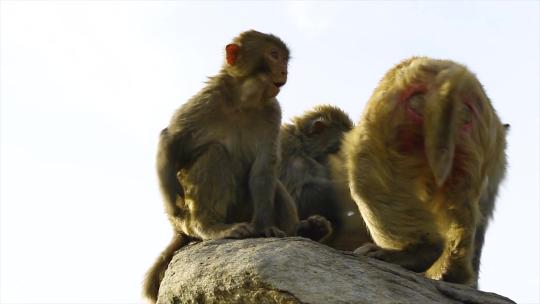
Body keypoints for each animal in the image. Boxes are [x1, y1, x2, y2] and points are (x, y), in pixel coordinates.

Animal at [141, 29, 332, 302]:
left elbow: (263, 171)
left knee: (271, 182)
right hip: (195, 217)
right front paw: (171, 201)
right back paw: (211, 227)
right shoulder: (206, 100)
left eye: (284, 59)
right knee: (215, 154)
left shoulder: (272, 113)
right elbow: (171, 140)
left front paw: (266, 227)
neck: (244, 100)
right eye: (274, 55)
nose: (284, 71)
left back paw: (303, 230)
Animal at [348, 55, 508, 286]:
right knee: (463, 200)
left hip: (396, 129)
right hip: (470, 140)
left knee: (365, 176)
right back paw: (452, 270)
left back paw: (419, 253)